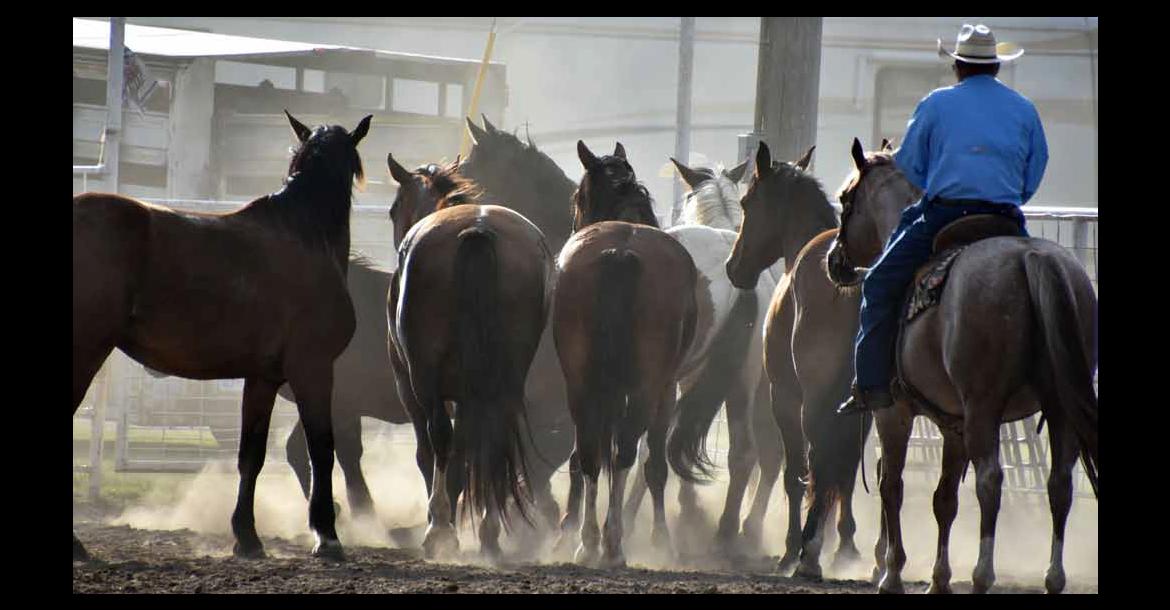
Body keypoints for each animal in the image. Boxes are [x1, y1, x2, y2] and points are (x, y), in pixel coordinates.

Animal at [73, 111, 372, 561]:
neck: (305, 234)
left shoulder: (263, 377)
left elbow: (252, 455)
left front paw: (247, 537)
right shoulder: (314, 369)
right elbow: (323, 448)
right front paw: (327, 535)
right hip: (86, 349)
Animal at [385, 155, 555, 560]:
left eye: (394, 208)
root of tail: (478, 230)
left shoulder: (409, 387)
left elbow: (430, 454)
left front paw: (441, 521)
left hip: (425, 381)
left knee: (440, 439)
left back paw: (439, 532)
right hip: (504, 377)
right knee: (493, 436)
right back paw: (489, 531)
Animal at [553, 140, 700, 567]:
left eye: (577, 198)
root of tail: (621, 253)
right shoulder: (666, 387)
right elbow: (654, 464)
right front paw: (661, 538)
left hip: (581, 382)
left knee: (590, 452)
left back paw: (587, 542)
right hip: (646, 386)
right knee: (626, 450)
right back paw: (612, 542)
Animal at [725, 141, 873, 578]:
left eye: (746, 201)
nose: (734, 267)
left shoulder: (784, 397)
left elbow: (796, 472)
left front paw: (793, 548)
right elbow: (843, 471)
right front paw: (846, 544)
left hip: (811, 401)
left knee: (817, 464)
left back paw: (807, 551)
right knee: (844, 466)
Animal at [820, 138, 1098, 594]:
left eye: (846, 198)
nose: (834, 261)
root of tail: (1032, 258)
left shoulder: (893, 413)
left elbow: (891, 485)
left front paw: (892, 572)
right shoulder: (954, 424)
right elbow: (944, 498)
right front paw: (938, 579)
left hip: (985, 405)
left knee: (990, 480)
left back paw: (983, 575)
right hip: (1059, 408)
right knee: (1059, 483)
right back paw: (1053, 577)